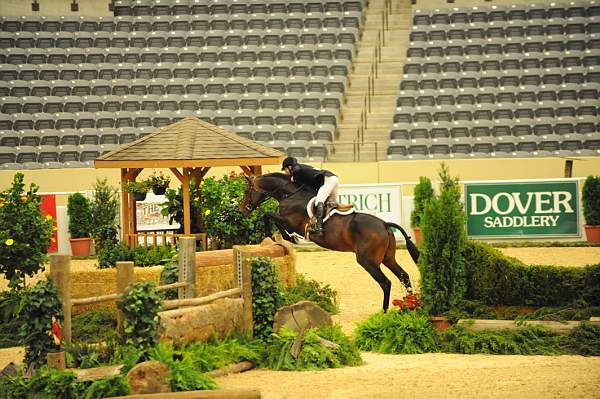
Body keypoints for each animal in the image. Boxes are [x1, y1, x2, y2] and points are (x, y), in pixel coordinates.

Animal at [237, 172, 420, 312]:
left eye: (246, 191)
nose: (242, 211)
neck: (289, 195)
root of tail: (384, 224)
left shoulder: (289, 222)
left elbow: (268, 215)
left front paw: (281, 237)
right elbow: (270, 217)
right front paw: (286, 238)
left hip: (367, 261)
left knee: (385, 282)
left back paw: (384, 311)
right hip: (388, 258)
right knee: (404, 276)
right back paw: (411, 305)